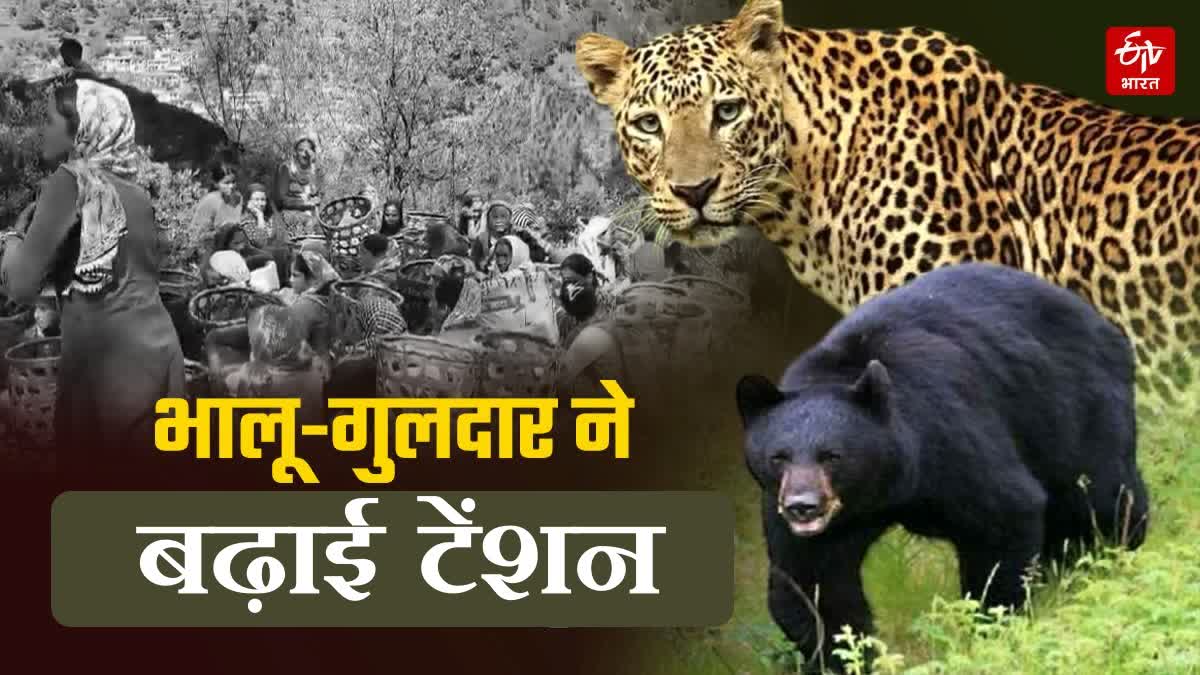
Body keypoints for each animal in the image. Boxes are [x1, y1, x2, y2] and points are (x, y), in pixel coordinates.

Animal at [735, 261, 1150, 674]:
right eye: (779, 457)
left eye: (832, 455)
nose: (803, 506)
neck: (885, 488)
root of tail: (1100, 321)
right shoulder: (792, 509)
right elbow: (811, 581)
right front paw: (846, 658)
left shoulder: (948, 432)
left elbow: (1003, 514)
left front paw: (989, 630)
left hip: (1071, 403)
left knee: (1101, 493)